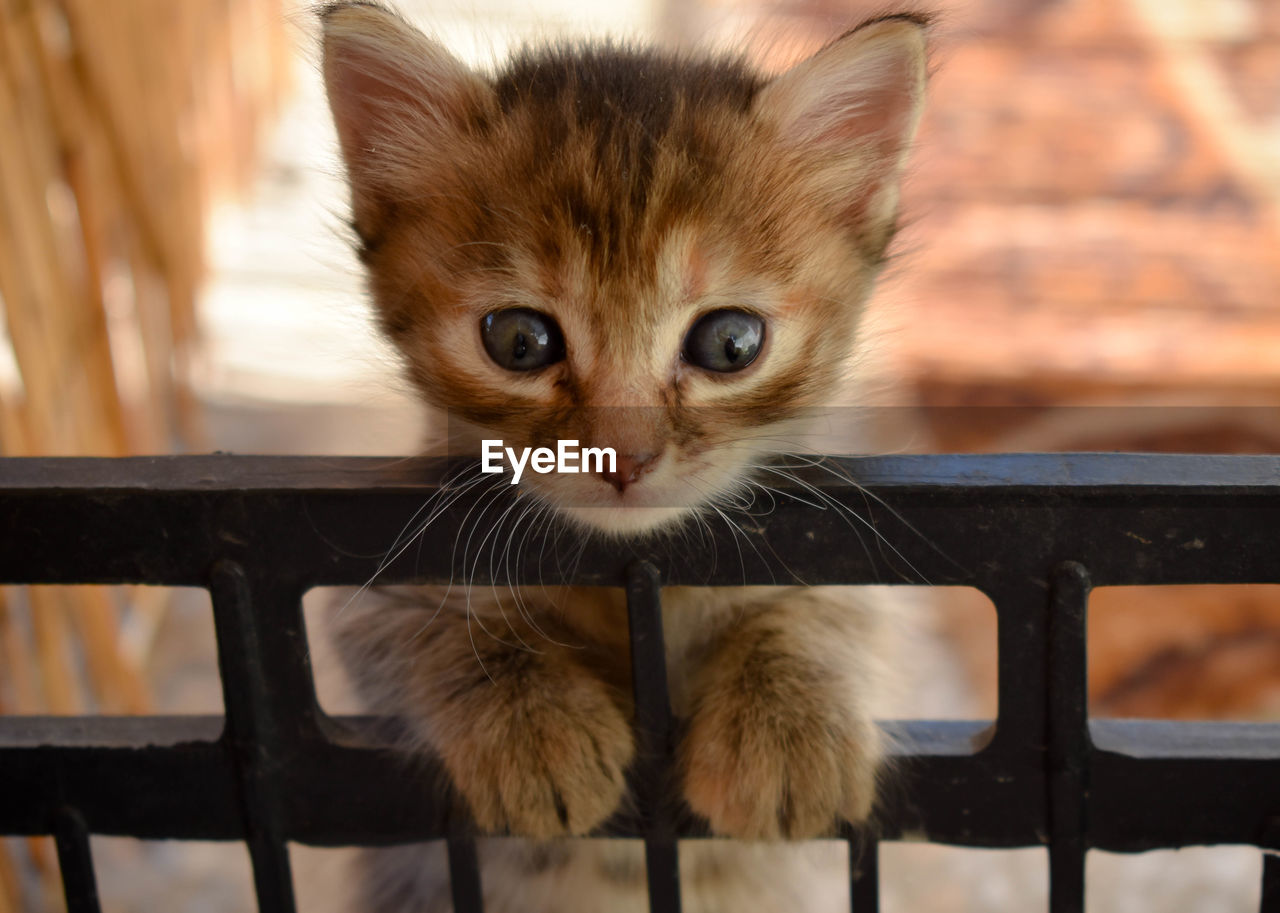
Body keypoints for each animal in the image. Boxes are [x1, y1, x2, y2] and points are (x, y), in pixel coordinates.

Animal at [316, 3, 926, 906]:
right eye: (519, 340)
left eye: (730, 342)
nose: (623, 459)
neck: (632, 583)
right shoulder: (367, 583)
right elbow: (424, 625)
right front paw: (535, 724)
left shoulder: (850, 557)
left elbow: (831, 611)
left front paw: (789, 723)